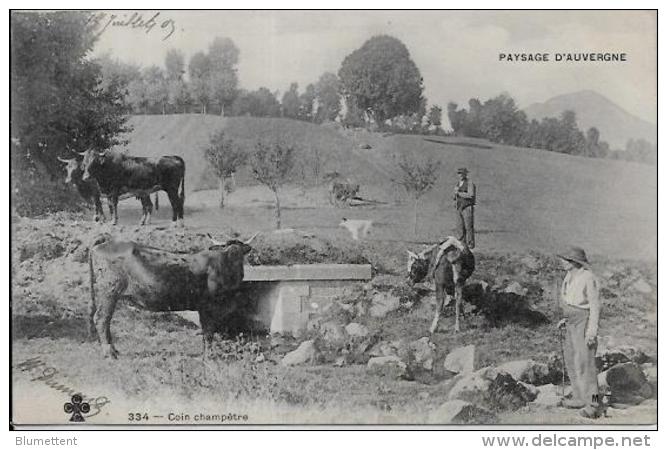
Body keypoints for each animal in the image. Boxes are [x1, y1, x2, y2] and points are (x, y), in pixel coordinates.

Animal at [87, 234, 258, 356]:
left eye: (240, 256)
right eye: (227, 254)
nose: (234, 274)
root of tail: (106, 241)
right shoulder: (207, 306)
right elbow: (208, 331)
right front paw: (209, 355)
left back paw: (114, 350)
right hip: (109, 292)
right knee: (102, 319)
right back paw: (109, 353)